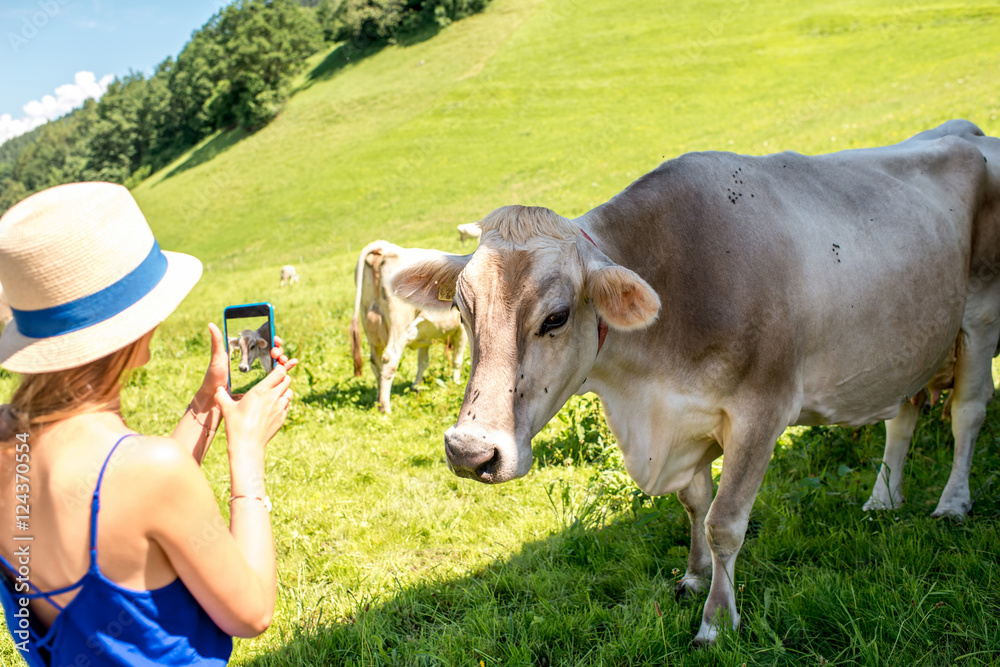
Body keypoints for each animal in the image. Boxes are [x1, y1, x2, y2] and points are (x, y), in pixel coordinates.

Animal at [352, 240, 468, 414]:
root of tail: (382, 246)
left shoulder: (425, 336)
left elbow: (423, 362)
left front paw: (416, 386)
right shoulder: (462, 332)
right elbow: (457, 360)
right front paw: (457, 383)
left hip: (370, 327)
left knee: (375, 363)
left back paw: (378, 401)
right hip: (398, 325)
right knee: (389, 360)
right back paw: (385, 408)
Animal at [390, 120, 1000, 648]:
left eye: (557, 317)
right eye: (462, 309)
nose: (469, 451)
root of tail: (970, 132)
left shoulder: (761, 412)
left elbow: (724, 522)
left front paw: (717, 620)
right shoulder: (686, 417)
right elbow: (693, 503)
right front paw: (693, 577)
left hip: (978, 318)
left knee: (967, 413)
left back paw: (952, 503)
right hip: (914, 340)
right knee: (905, 415)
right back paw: (883, 498)